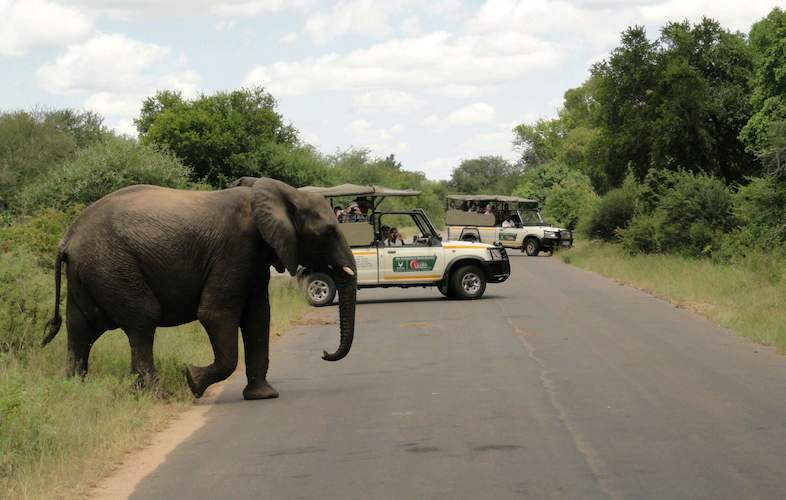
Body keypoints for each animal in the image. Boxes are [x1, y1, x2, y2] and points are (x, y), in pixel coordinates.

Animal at [44, 178, 356, 400]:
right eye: (327, 233)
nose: (325, 353)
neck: (283, 192)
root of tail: (67, 238)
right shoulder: (235, 249)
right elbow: (215, 314)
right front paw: (192, 380)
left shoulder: (254, 257)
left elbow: (258, 317)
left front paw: (263, 396)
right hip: (112, 266)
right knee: (142, 320)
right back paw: (156, 396)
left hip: (89, 273)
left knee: (80, 329)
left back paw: (75, 392)